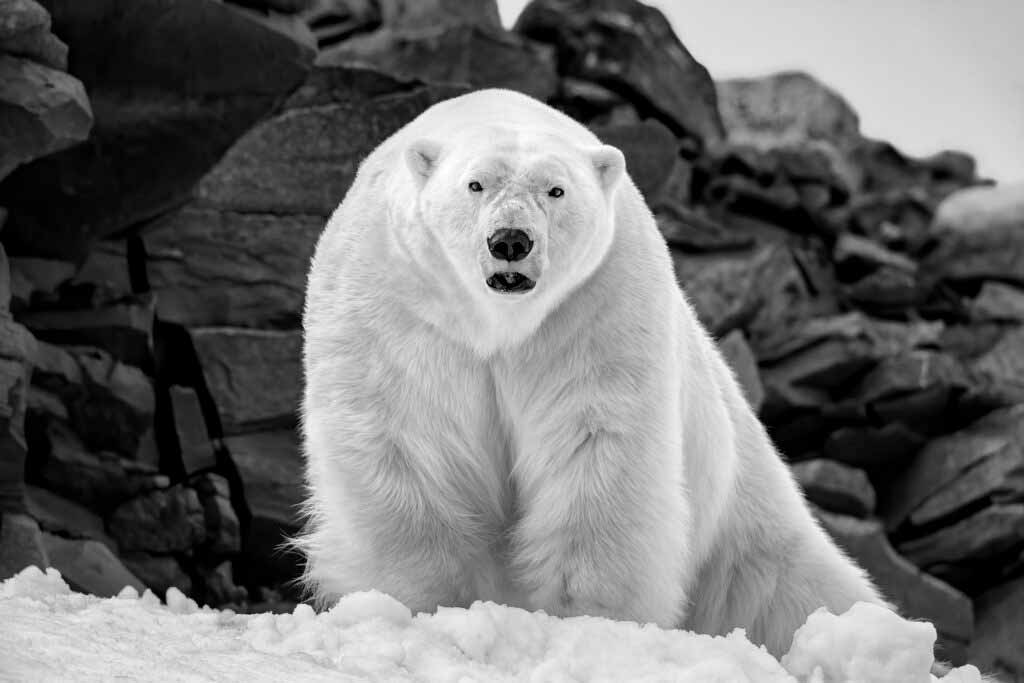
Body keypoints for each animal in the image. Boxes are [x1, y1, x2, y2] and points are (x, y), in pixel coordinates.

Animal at [299, 88, 888, 655]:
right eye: (475, 184)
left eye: (556, 190)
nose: (510, 240)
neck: (499, 324)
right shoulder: (395, 305)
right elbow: (404, 440)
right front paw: (429, 606)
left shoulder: (595, 307)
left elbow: (595, 447)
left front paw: (586, 621)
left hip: (740, 497)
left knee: (792, 585)